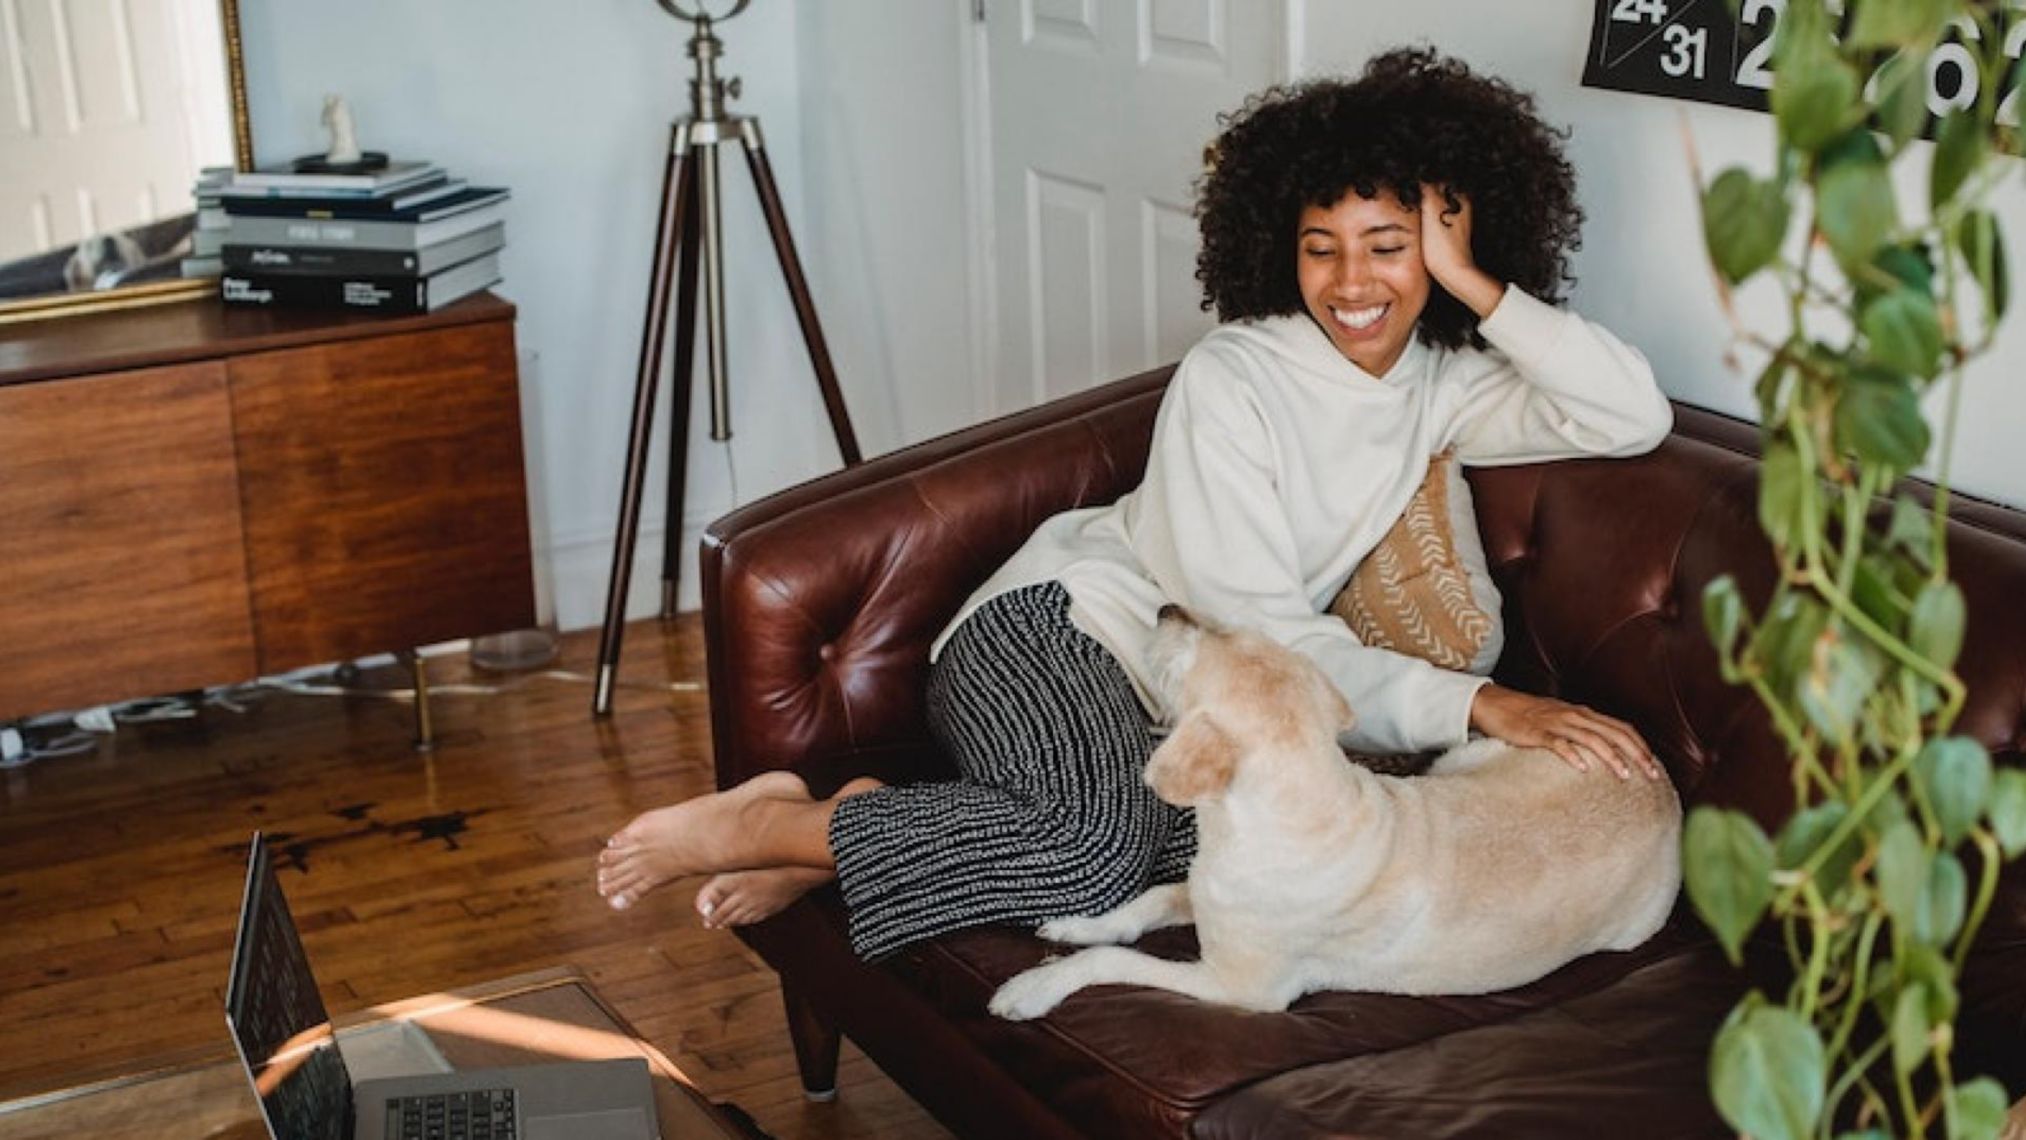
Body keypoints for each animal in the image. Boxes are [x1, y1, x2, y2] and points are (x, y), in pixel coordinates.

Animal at [988, 603, 1685, 1020]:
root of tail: (1666, 785)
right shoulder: (1205, 892)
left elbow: (1118, 961)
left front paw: (1033, 987)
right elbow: (1149, 901)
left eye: (1202, 648)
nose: (1166, 607)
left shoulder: (1238, 987)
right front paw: (1079, 924)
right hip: (1463, 758)